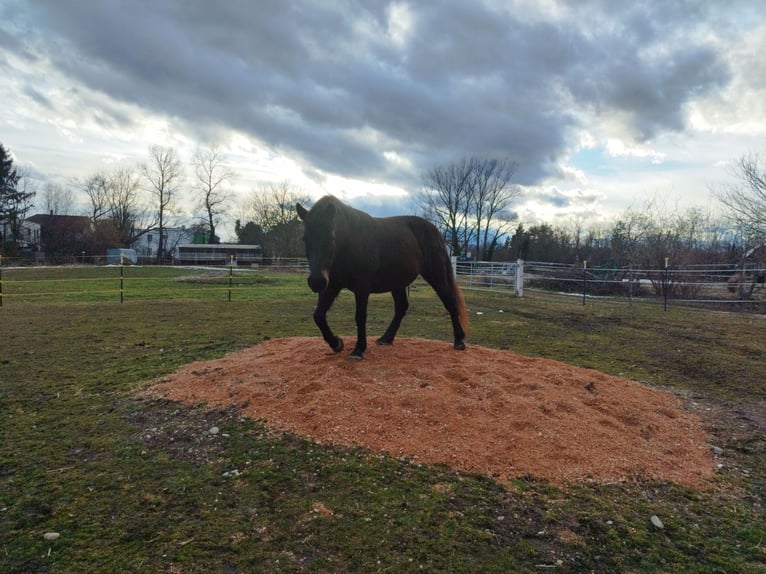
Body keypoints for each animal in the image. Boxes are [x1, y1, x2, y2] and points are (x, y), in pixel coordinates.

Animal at [296, 196, 469, 360]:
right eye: (305, 238)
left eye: (331, 238)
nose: (316, 281)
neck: (348, 243)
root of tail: (434, 230)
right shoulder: (331, 286)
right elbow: (318, 315)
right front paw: (336, 343)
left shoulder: (362, 287)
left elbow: (360, 317)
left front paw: (358, 350)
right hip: (397, 282)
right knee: (401, 307)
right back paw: (386, 338)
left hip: (436, 275)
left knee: (450, 301)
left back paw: (459, 340)